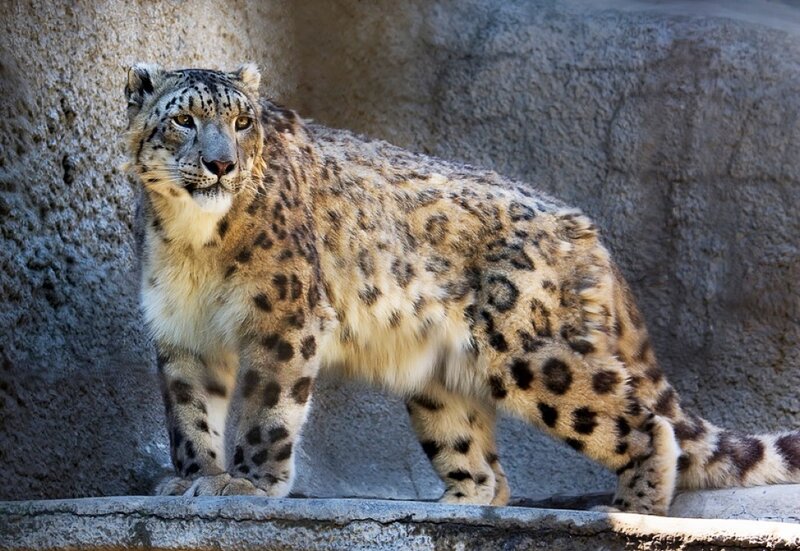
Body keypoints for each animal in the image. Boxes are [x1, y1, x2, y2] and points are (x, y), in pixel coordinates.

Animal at [124, 62, 800, 515]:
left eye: (242, 122)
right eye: (183, 119)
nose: (221, 164)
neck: (195, 243)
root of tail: (585, 228)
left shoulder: (284, 317)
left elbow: (267, 408)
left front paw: (247, 484)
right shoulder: (181, 329)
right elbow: (189, 412)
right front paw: (190, 478)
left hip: (533, 354)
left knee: (647, 422)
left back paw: (630, 509)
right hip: (438, 379)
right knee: (482, 467)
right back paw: (453, 506)